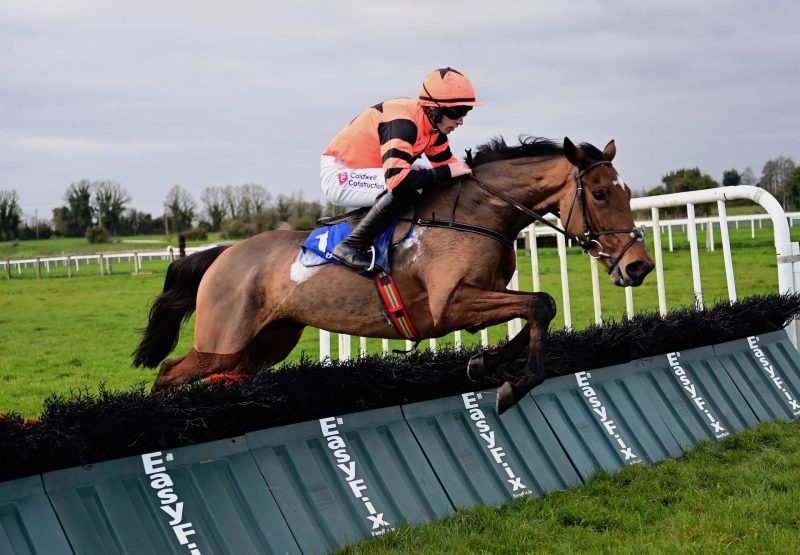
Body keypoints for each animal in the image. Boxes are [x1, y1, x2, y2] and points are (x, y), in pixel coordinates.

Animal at [134, 136, 652, 412]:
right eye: (600, 194)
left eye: (627, 192)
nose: (639, 265)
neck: (477, 212)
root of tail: (224, 255)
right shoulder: (450, 306)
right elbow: (541, 304)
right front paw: (512, 385)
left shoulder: (485, 293)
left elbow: (538, 308)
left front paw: (485, 363)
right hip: (221, 342)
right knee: (167, 372)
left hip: (265, 344)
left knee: (219, 375)